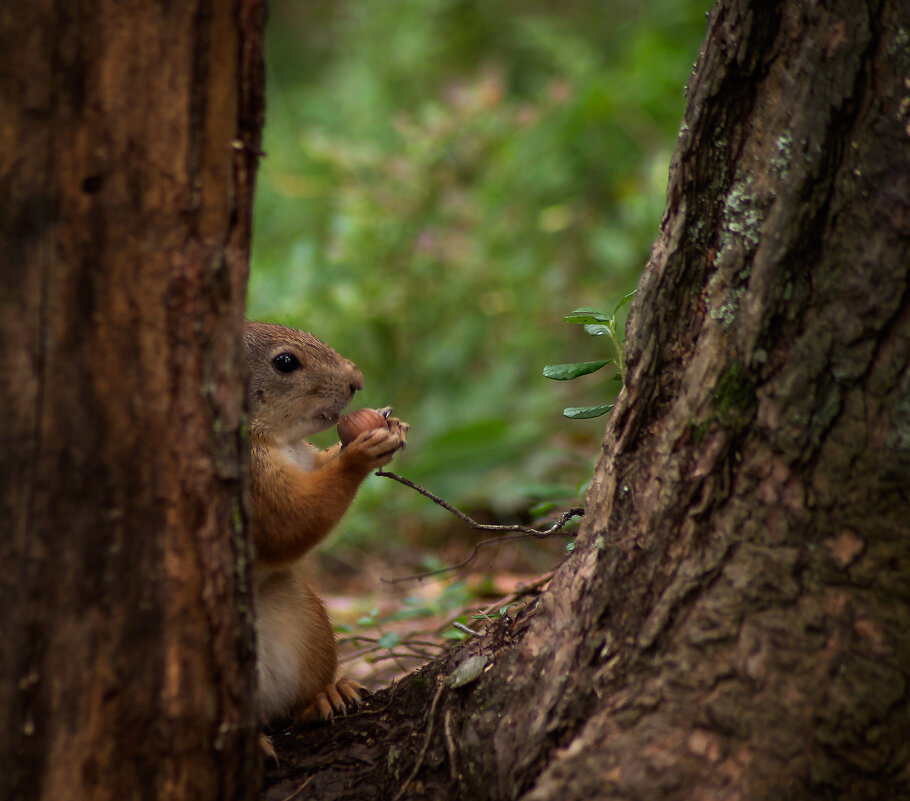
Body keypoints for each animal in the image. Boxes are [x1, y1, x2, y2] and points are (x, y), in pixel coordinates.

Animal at [246, 320, 410, 732]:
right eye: (285, 362)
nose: (358, 380)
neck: (278, 442)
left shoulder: (305, 460)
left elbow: (321, 468)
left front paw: (390, 424)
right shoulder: (254, 484)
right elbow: (289, 524)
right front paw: (359, 455)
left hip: (308, 623)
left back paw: (325, 695)